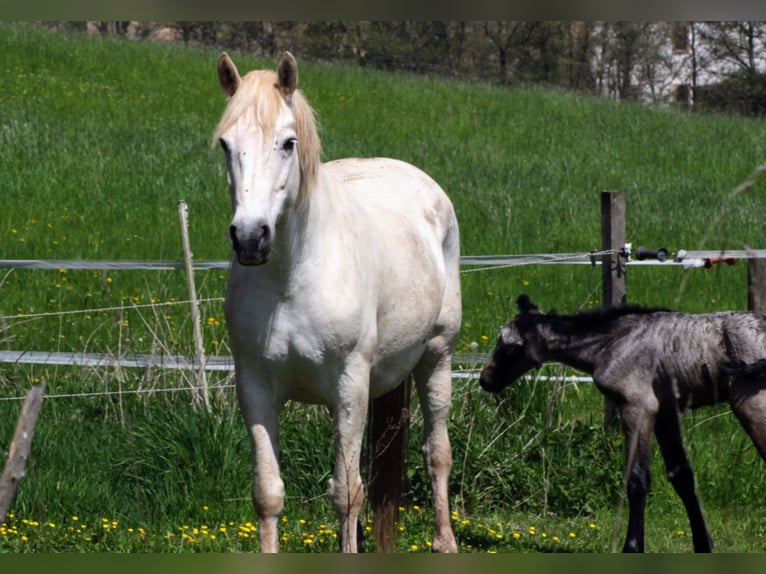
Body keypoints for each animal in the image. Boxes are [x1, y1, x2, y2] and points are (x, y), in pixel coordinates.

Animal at [213, 51, 461, 553]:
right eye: (227, 145)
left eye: (288, 143)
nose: (250, 238)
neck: (291, 278)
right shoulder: (255, 387)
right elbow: (268, 493)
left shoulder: (349, 385)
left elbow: (346, 494)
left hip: (437, 355)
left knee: (437, 452)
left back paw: (444, 542)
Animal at [479, 294, 766, 553]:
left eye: (510, 348)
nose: (485, 380)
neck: (613, 342)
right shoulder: (665, 412)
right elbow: (682, 476)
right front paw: (703, 545)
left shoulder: (637, 408)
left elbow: (637, 480)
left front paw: (633, 547)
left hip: (752, 405)